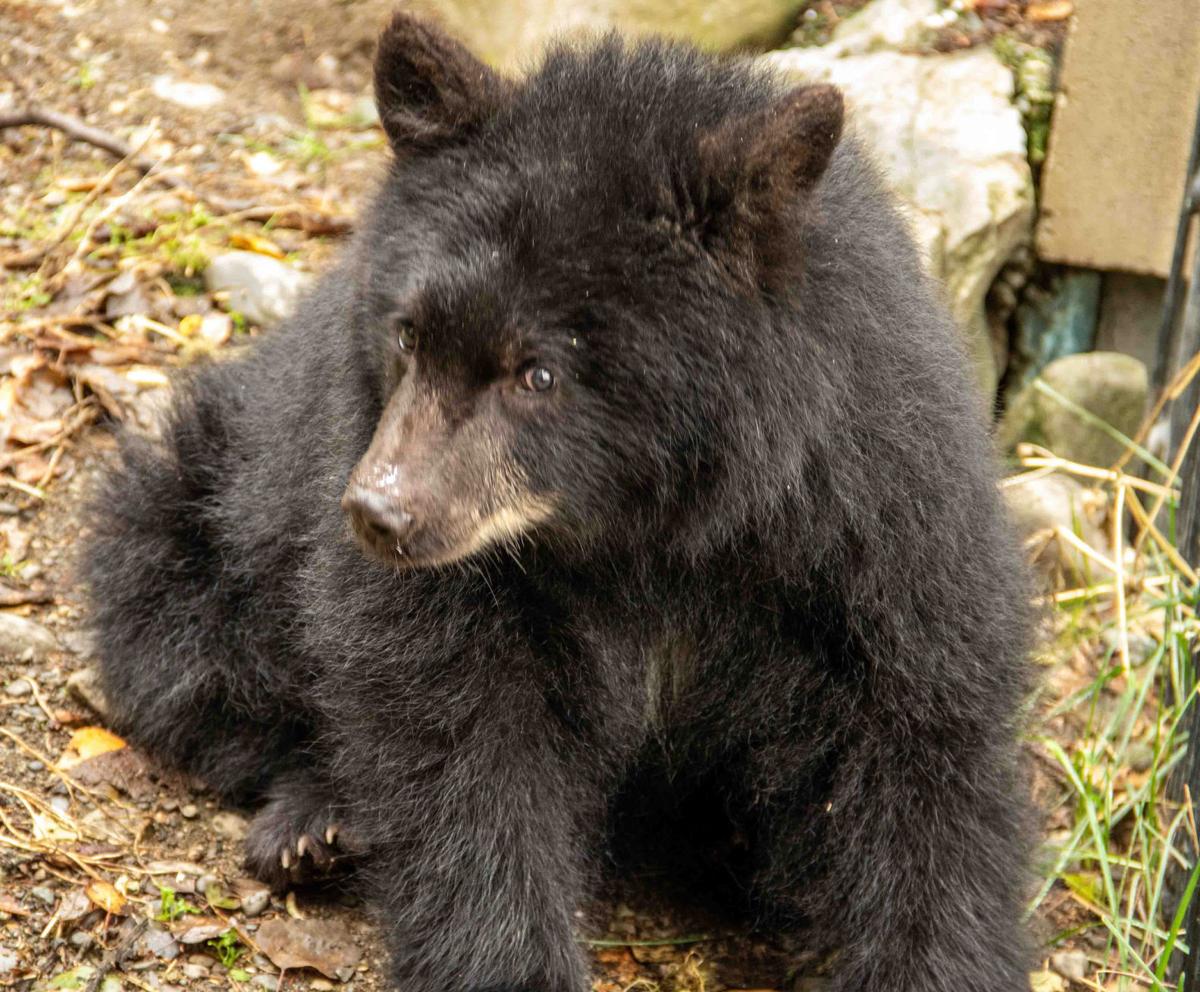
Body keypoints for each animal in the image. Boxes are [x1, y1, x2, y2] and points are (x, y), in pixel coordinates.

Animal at [81, 12, 1033, 992]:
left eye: (538, 373)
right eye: (409, 334)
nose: (380, 515)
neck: (648, 525)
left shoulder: (872, 512)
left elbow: (919, 743)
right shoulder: (435, 549)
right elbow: (461, 739)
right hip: (205, 500)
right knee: (181, 632)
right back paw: (317, 822)